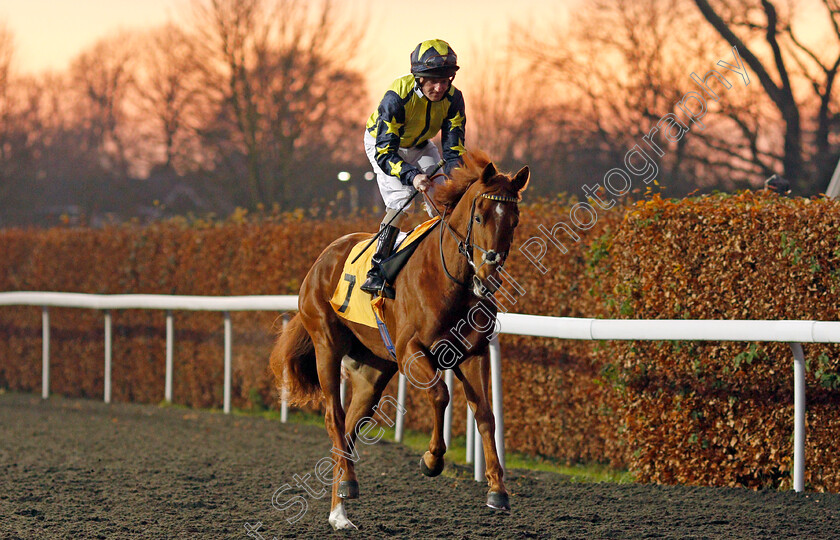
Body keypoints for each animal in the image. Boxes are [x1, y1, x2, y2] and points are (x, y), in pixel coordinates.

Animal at [272, 151, 528, 528]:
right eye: (480, 216)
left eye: (513, 220)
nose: (488, 275)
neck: (449, 280)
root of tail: (324, 257)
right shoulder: (410, 351)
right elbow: (440, 394)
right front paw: (432, 460)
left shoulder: (473, 353)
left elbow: (484, 414)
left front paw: (498, 490)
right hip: (326, 345)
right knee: (334, 417)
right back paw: (347, 487)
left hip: (373, 369)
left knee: (350, 427)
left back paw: (340, 510)